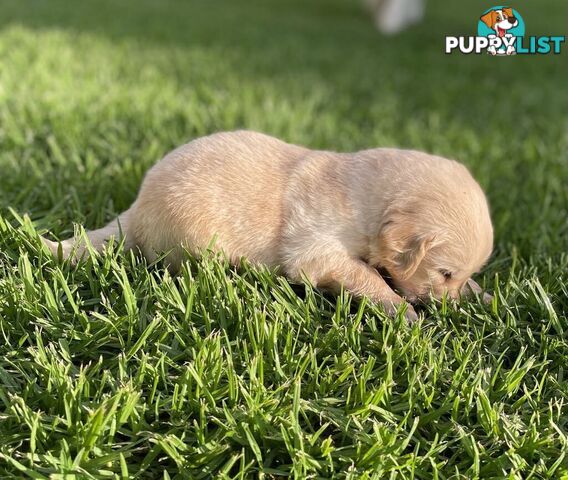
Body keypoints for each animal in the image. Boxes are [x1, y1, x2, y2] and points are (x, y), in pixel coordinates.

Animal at [43, 129, 492, 320]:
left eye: (457, 275)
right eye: (443, 273)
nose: (447, 307)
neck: (366, 198)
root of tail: (134, 209)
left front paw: (482, 295)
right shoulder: (315, 250)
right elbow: (363, 275)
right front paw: (401, 311)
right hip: (190, 234)